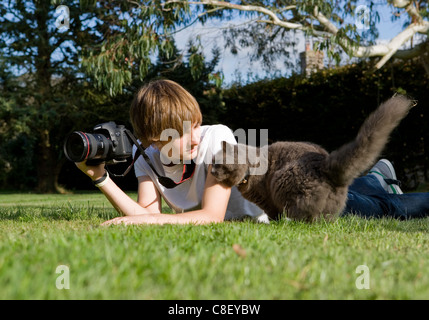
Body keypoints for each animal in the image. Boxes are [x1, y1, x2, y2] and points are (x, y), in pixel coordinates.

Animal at [211, 95, 414, 222]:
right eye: (211, 164)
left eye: (218, 164)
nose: (212, 172)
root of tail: (326, 164)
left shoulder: (266, 199)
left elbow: (273, 213)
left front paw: (272, 223)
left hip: (282, 181)